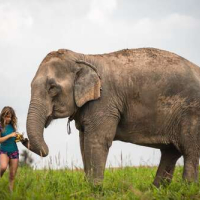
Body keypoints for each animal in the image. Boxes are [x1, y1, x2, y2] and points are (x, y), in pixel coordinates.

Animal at [24, 47, 200, 187]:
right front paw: (88, 187)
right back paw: (158, 189)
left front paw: (95, 189)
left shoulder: (105, 101)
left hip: (191, 112)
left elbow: (97, 140)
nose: (23, 139)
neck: (83, 57)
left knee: (190, 150)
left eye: (52, 88)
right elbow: (83, 141)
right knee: (170, 152)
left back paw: (187, 188)